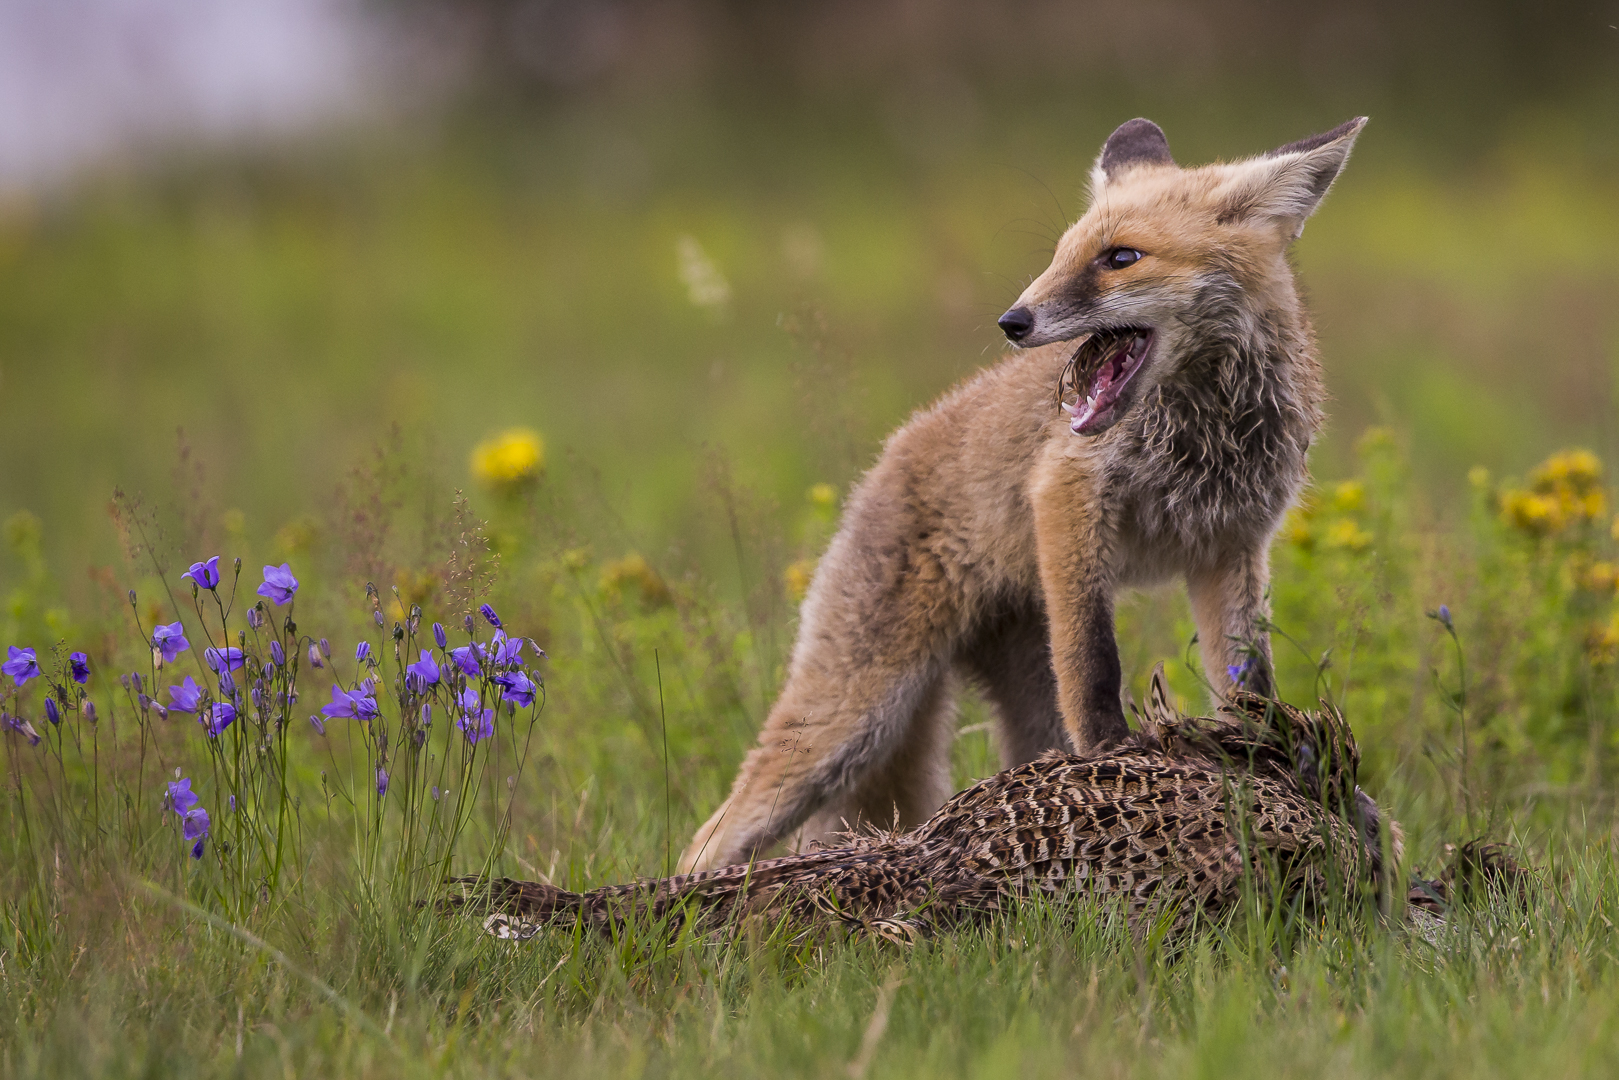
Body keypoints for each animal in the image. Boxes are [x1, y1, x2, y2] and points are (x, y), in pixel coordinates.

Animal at [676, 116, 1359, 880]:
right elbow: (1094, 665)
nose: (1013, 320)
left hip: (1001, 705)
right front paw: (1119, 757)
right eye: (1061, 255)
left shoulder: (1230, 546)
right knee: (707, 839)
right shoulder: (1067, 492)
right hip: (850, 722)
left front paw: (1265, 756)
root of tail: (884, 461)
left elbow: (1248, 682)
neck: (1206, 431)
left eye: (1120, 257)